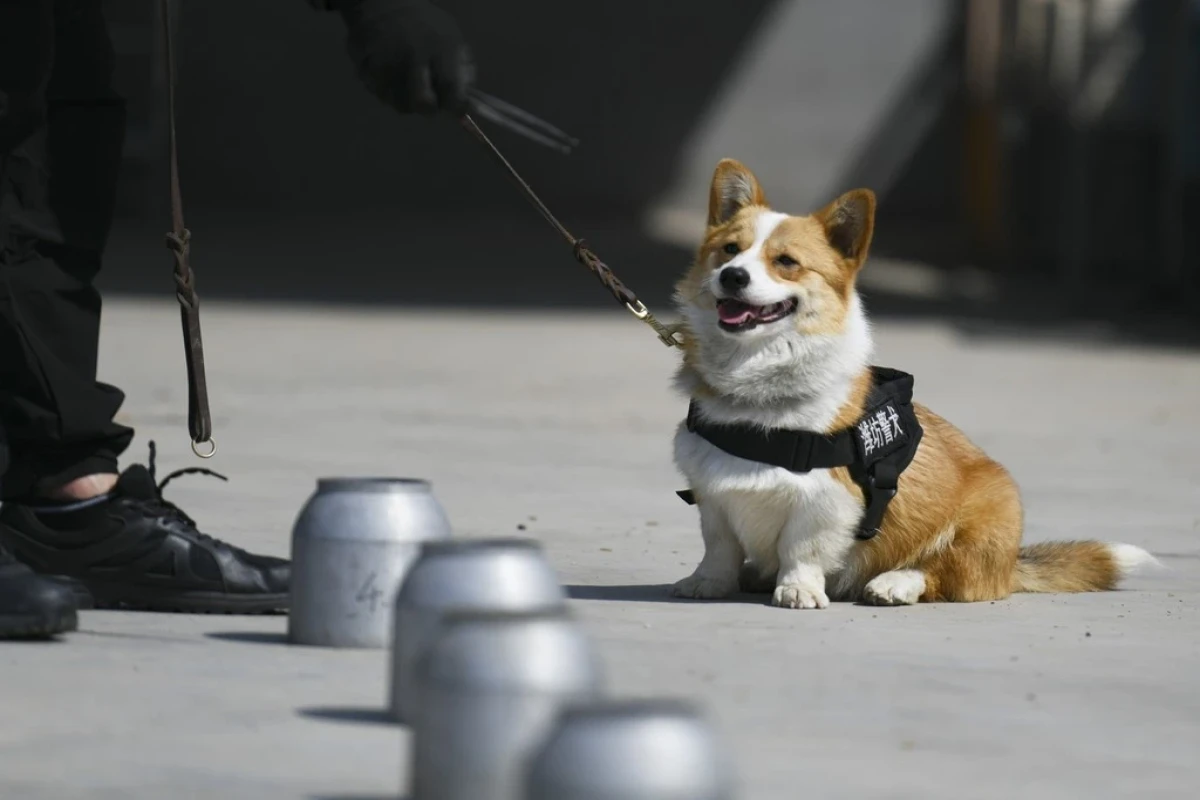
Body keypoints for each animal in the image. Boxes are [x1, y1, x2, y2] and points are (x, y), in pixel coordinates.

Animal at [672, 158, 1156, 606]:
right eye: (729, 250)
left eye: (786, 262)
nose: (733, 276)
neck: (755, 384)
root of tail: (1012, 565)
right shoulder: (713, 497)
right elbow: (719, 548)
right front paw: (707, 583)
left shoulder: (825, 501)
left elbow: (801, 549)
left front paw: (798, 590)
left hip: (986, 519)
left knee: (943, 572)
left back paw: (894, 583)